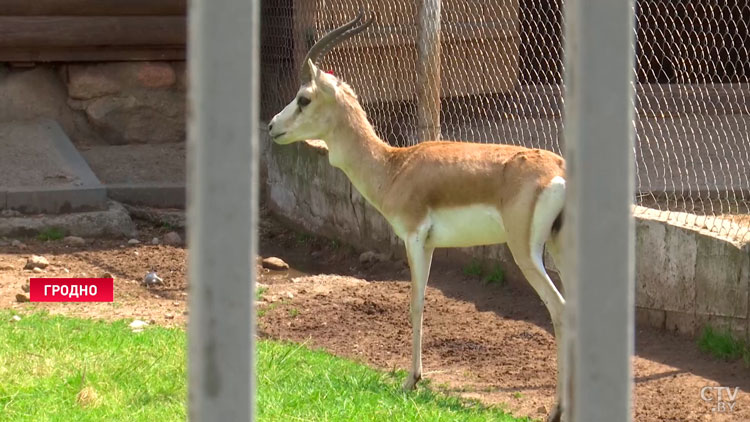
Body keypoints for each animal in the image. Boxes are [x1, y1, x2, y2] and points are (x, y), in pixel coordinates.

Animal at [270, 12, 568, 422]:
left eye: (304, 98)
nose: (271, 126)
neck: (395, 166)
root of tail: (558, 169)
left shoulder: (413, 237)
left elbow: (415, 301)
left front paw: (410, 381)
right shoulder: (429, 244)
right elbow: (422, 301)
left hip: (527, 252)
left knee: (560, 310)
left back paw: (557, 410)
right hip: (559, 249)